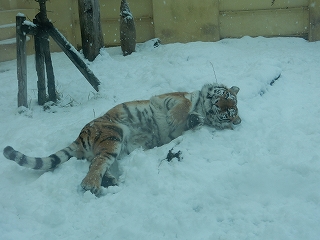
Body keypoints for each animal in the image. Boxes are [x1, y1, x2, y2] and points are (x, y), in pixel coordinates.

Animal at [2, 83, 240, 196]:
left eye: (229, 109)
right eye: (226, 97)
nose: (216, 103)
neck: (203, 107)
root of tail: (81, 136)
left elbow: (189, 122)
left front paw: (195, 120)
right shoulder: (172, 98)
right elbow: (183, 107)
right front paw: (178, 117)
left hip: (114, 145)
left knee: (96, 163)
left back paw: (108, 181)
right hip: (113, 134)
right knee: (96, 165)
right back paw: (92, 186)